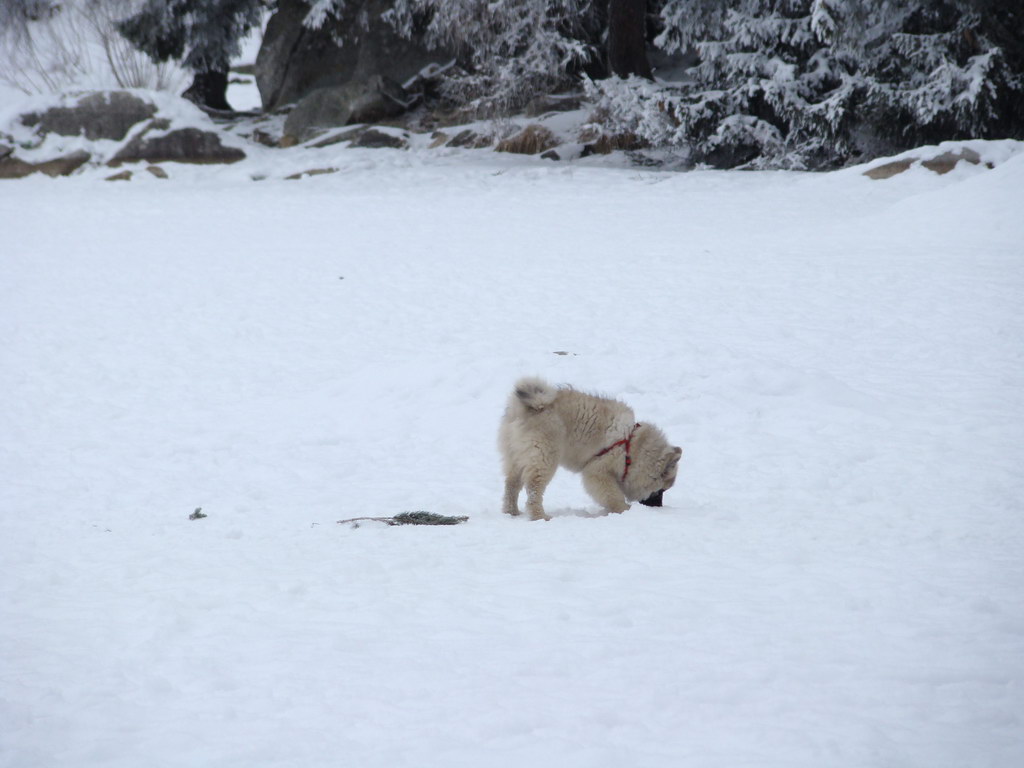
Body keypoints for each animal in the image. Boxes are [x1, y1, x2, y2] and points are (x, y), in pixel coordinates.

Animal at [497, 378, 679, 524]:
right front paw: (624, 509)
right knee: (534, 490)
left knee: (511, 485)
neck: (630, 447)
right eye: (661, 491)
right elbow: (613, 495)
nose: (659, 507)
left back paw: (511, 512)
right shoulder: (597, 472)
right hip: (544, 458)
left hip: (516, 457)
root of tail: (531, 405)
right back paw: (540, 517)